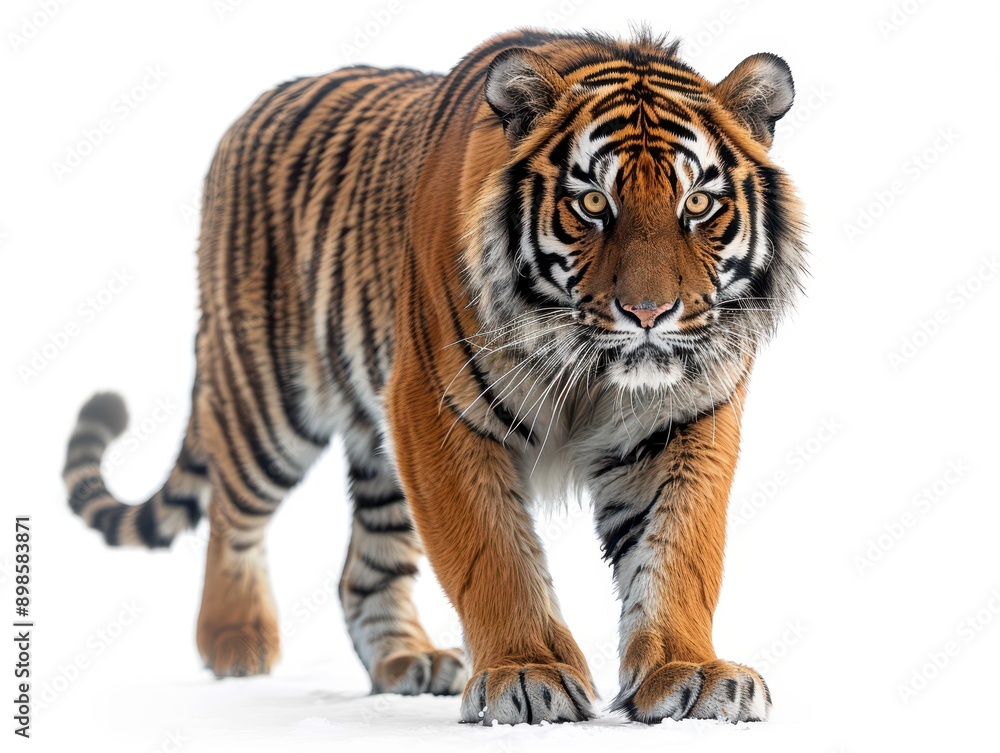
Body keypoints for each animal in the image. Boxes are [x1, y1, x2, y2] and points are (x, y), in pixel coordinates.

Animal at [62, 28, 806, 725]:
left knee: (362, 569)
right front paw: (527, 673)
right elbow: (493, 555)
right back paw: (234, 640)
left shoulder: (684, 420)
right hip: (269, 402)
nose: (649, 313)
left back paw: (406, 660)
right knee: (231, 511)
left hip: (379, 449)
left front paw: (689, 672)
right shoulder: (439, 410)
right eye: (593, 203)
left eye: (699, 204)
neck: (590, 366)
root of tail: (252, 110)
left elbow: (679, 553)